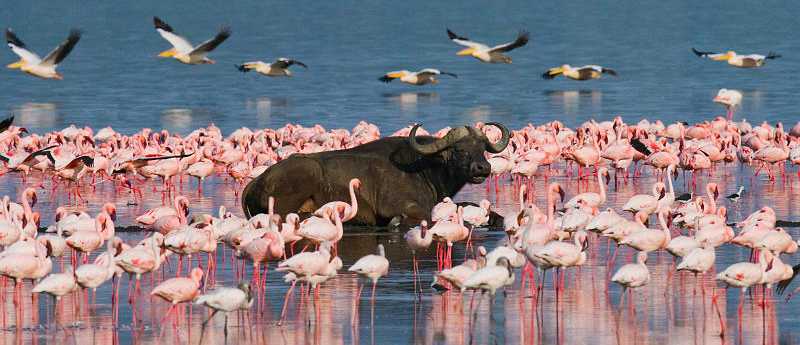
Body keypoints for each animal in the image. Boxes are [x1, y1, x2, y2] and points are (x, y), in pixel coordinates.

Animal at [241, 123, 510, 226]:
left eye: (482, 148)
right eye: (459, 150)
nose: (482, 168)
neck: (424, 169)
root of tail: (256, 182)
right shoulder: (404, 206)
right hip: (305, 175)